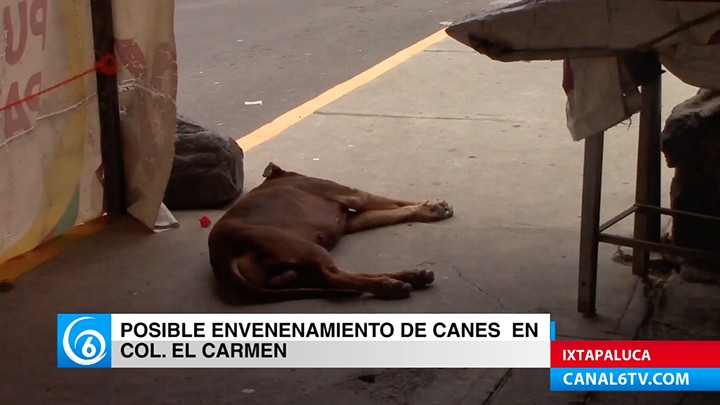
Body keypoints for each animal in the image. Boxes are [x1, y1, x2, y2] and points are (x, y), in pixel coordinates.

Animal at [208, 162, 452, 300]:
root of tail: (222, 257)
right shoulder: (353, 194)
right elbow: (393, 201)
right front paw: (432, 207)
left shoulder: (350, 220)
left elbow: (395, 211)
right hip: (303, 247)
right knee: (336, 275)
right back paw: (390, 286)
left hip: (295, 271)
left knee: (334, 277)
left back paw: (413, 276)